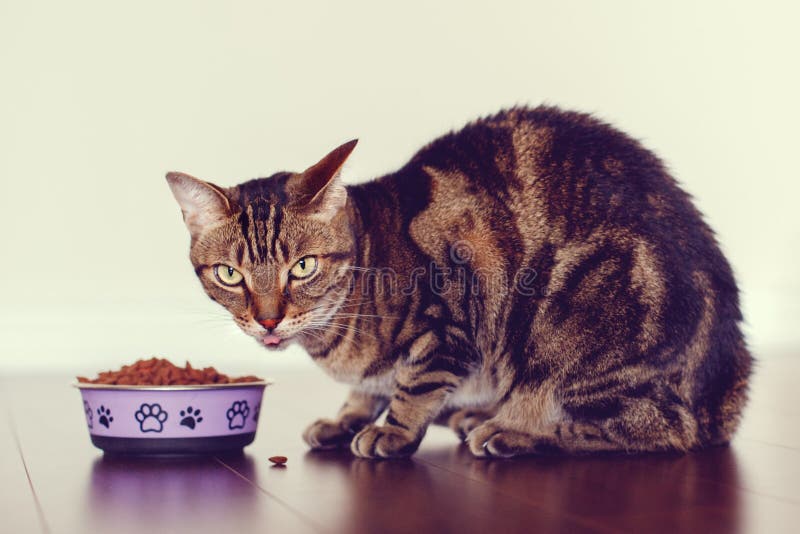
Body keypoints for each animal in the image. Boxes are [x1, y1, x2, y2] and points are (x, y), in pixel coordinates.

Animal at [167, 105, 752, 460]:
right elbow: (366, 390)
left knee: (657, 430)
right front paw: (345, 419)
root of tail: (728, 390)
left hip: (577, 327)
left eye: (303, 267)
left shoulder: (447, 323)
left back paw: (510, 429)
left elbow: (412, 386)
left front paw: (391, 430)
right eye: (230, 274)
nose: (268, 319)